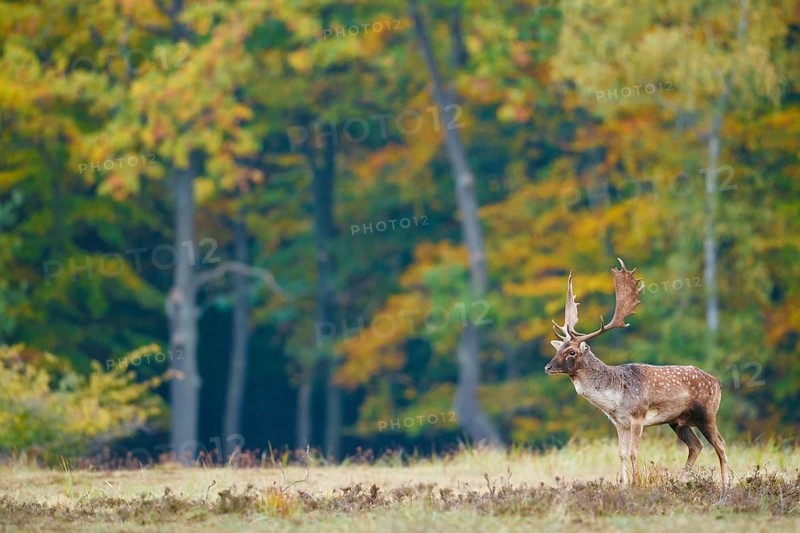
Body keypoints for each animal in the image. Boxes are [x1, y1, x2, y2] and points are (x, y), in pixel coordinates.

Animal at [544, 258, 729, 486]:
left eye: (571, 351)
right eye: (558, 349)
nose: (548, 367)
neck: (615, 400)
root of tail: (717, 382)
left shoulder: (638, 416)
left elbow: (633, 453)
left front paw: (635, 483)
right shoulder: (620, 423)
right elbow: (622, 453)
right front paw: (623, 485)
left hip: (707, 412)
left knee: (720, 444)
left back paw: (726, 484)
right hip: (679, 421)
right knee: (696, 446)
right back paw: (679, 481)